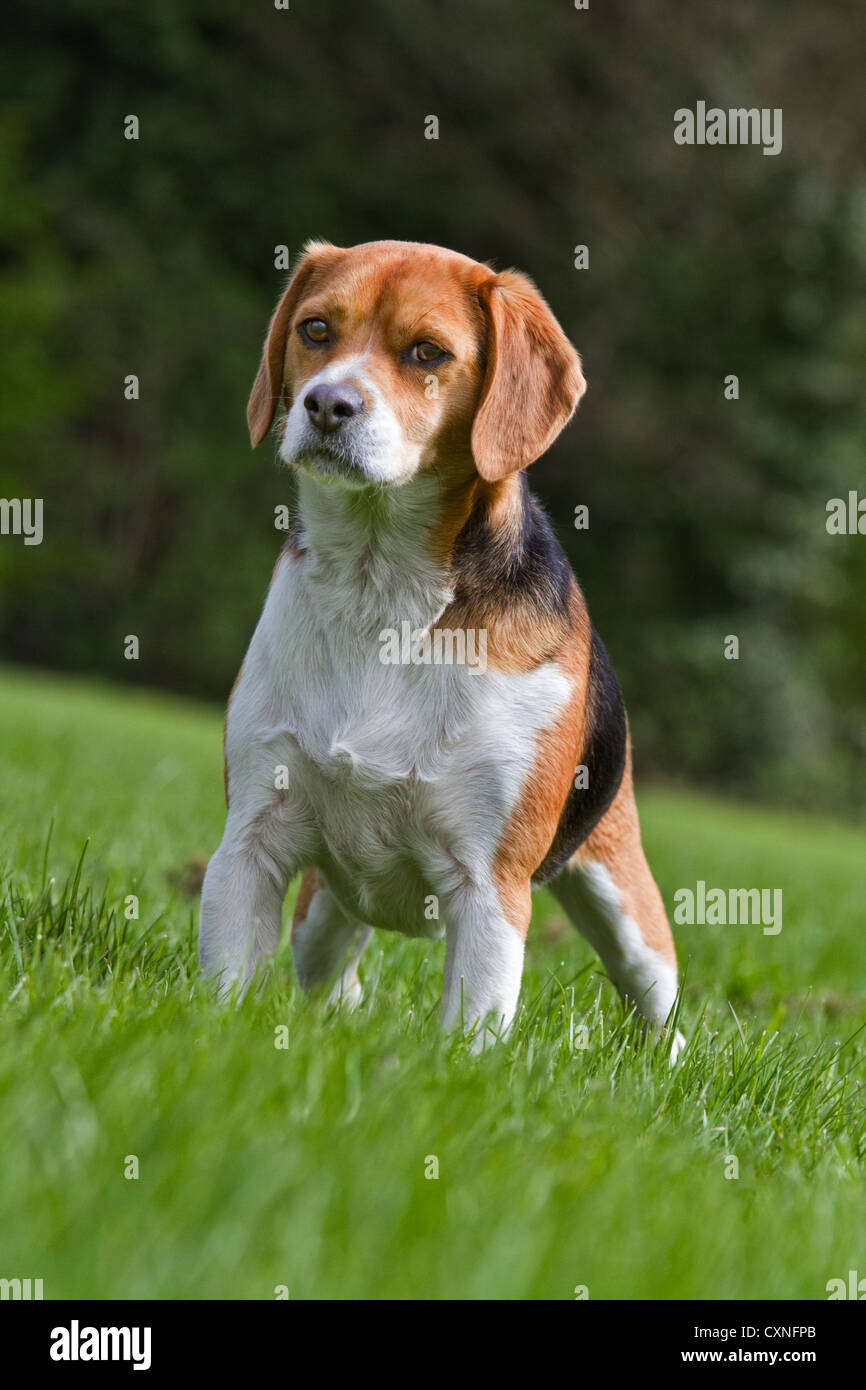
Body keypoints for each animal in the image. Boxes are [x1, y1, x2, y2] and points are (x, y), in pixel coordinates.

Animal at [200, 239, 686, 1050]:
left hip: (625, 905)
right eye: (315, 330)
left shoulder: (490, 890)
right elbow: (225, 981)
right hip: (325, 910)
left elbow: (473, 1032)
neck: (380, 591)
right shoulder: (250, 842)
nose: (327, 404)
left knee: (658, 1001)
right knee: (329, 960)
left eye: (427, 351)